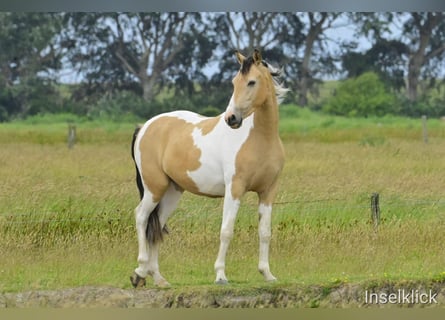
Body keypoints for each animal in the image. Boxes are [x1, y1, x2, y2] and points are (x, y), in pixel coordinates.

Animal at [128, 50, 288, 288]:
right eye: (234, 82)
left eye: (251, 82)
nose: (231, 118)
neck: (260, 138)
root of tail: (145, 126)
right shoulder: (235, 189)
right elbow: (226, 231)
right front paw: (220, 275)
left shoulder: (268, 191)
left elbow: (265, 232)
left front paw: (267, 274)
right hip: (154, 189)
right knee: (141, 217)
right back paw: (139, 272)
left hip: (171, 192)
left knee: (156, 228)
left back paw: (159, 278)